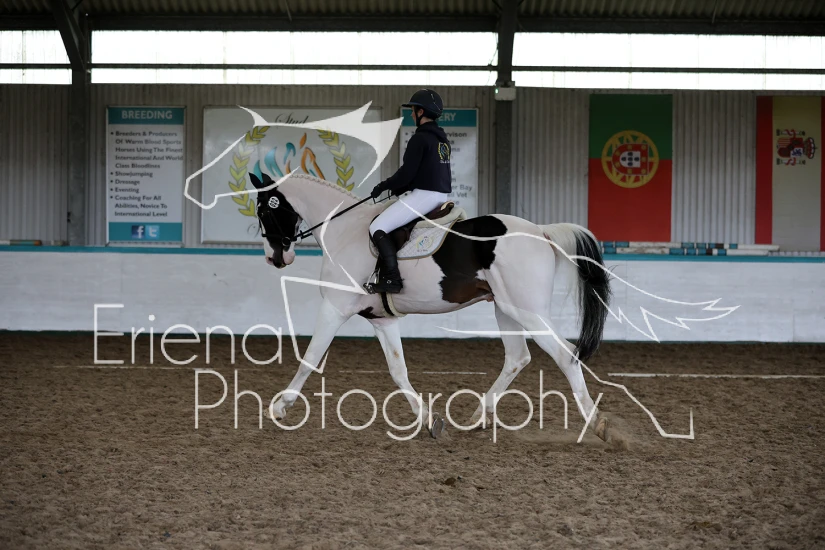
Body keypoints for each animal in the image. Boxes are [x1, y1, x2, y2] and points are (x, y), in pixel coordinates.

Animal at [249, 172, 611, 439]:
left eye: (264, 211)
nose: (274, 258)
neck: (344, 230)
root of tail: (541, 232)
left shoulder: (334, 308)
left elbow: (309, 358)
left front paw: (280, 407)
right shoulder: (381, 319)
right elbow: (398, 371)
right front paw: (427, 418)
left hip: (527, 311)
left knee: (565, 355)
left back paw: (597, 424)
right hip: (505, 308)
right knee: (517, 357)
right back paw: (478, 416)